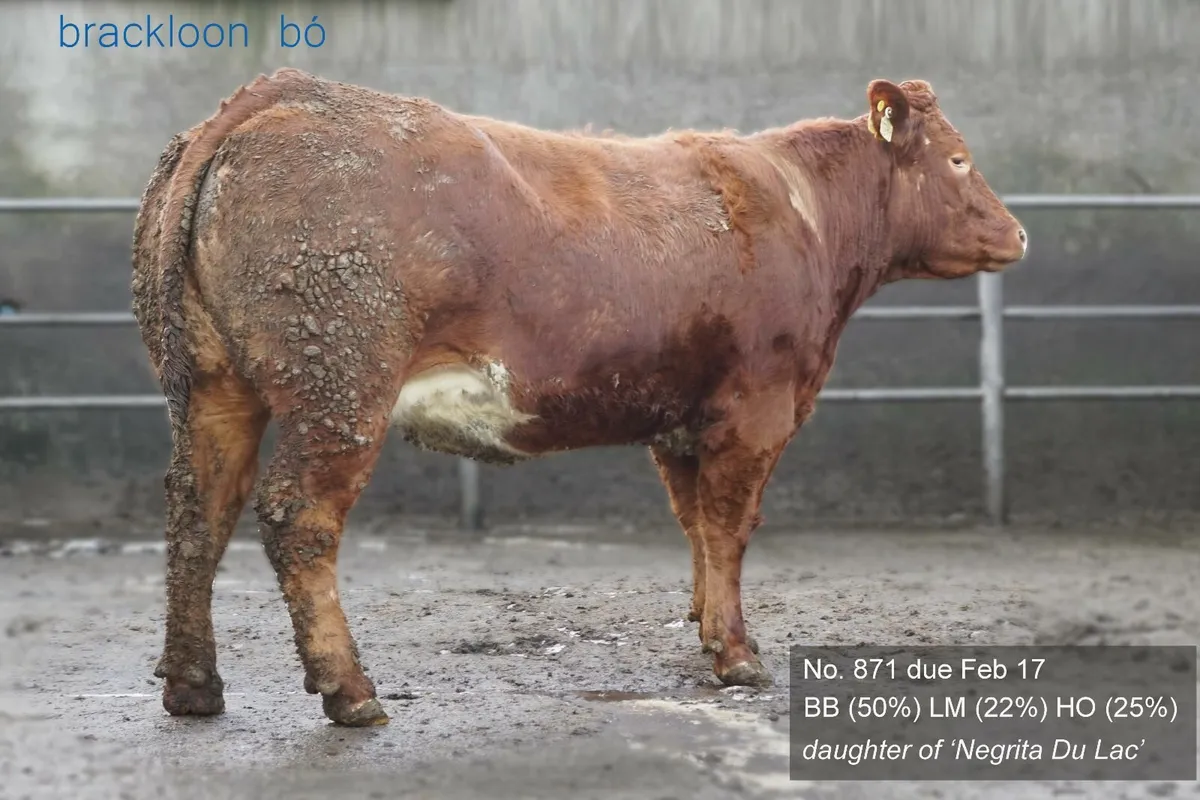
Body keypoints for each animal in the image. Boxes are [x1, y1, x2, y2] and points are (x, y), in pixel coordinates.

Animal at [130, 67, 1027, 727]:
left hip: (211, 386)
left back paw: (193, 687)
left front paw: (706, 629)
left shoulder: (680, 420)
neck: (805, 214)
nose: (1018, 233)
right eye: (957, 160)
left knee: (197, 513)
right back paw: (350, 692)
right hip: (341, 388)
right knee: (300, 519)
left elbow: (697, 528)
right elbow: (731, 528)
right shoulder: (756, 408)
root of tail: (279, 93)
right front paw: (738, 656)